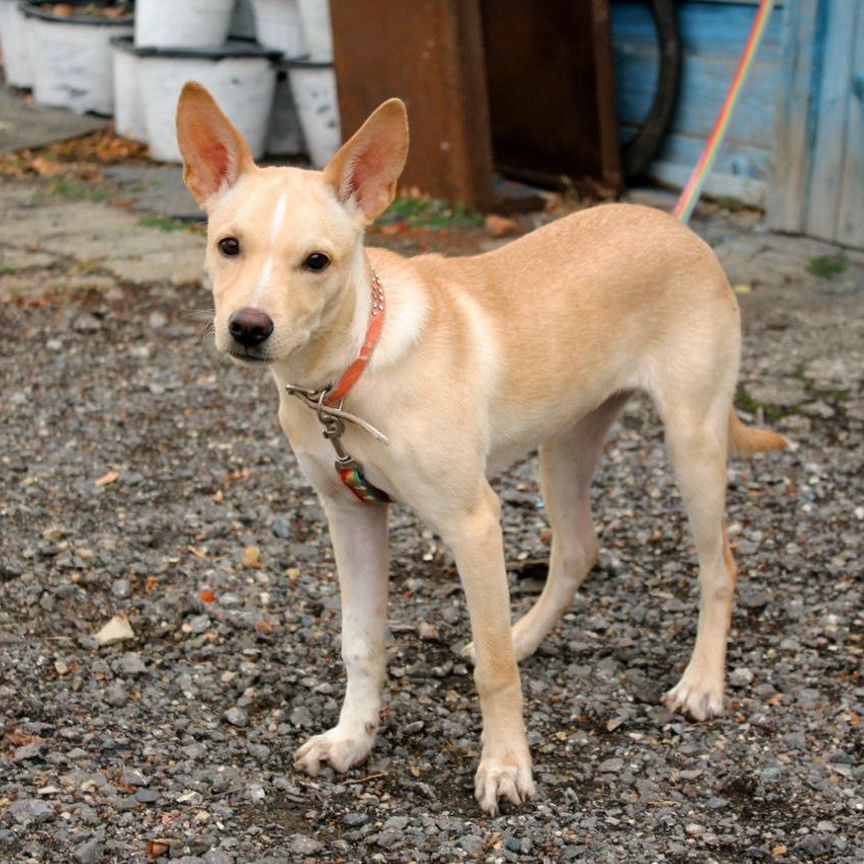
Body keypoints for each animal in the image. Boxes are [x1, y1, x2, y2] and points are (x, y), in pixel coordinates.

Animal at [176, 84, 788, 812]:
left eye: (317, 261)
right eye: (228, 245)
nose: (248, 327)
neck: (351, 368)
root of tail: (681, 229)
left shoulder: (473, 522)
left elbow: (493, 672)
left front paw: (505, 767)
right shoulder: (351, 515)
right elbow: (360, 643)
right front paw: (351, 740)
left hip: (692, 439)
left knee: (719, 565)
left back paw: (700, 682)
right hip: (566, 446)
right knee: (578, 550)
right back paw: (526, 635)